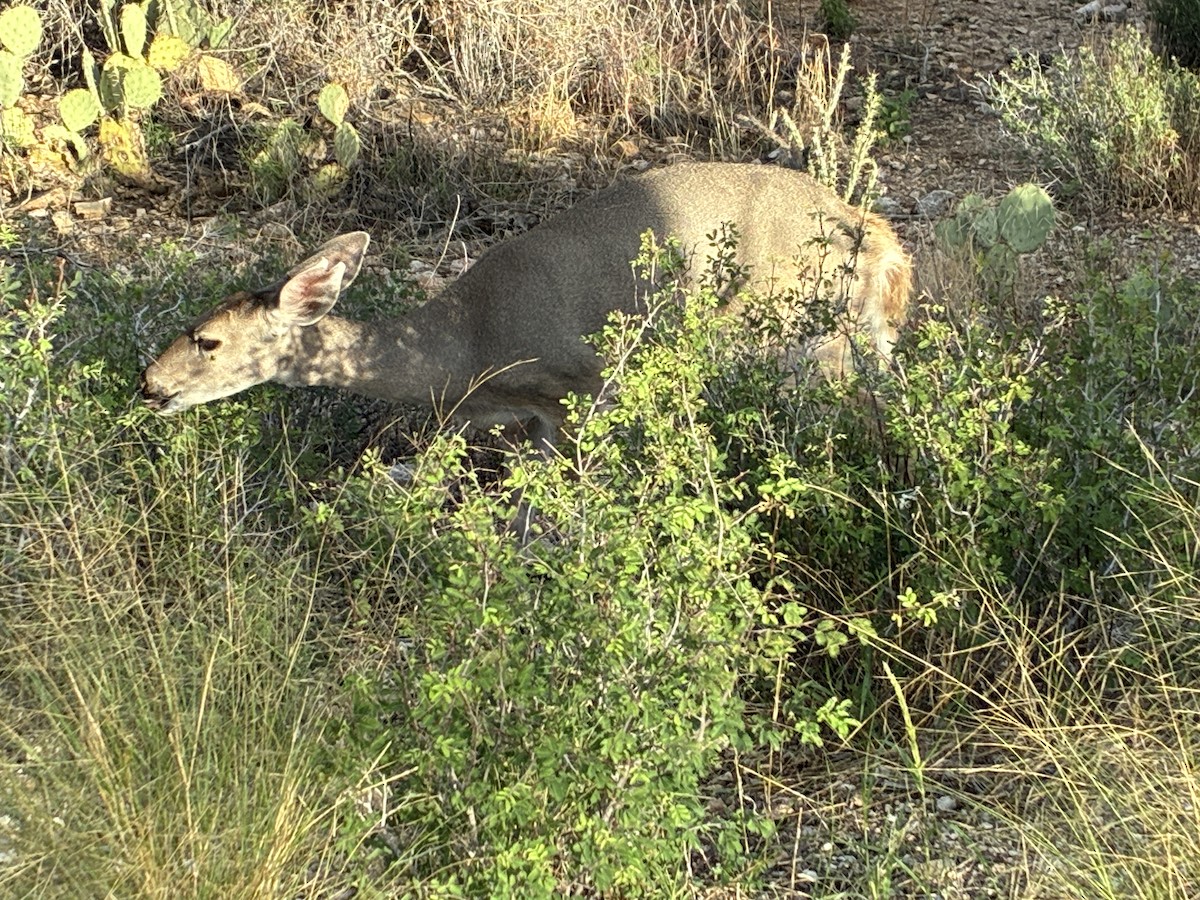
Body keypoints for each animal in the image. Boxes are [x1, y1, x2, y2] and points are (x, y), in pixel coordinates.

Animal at [140, 161, 911, 475]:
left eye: (207, 340)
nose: (150, 385)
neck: (461, 352)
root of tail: (868, 231)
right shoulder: (513, 421)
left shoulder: (578, 392)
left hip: (789, 336)